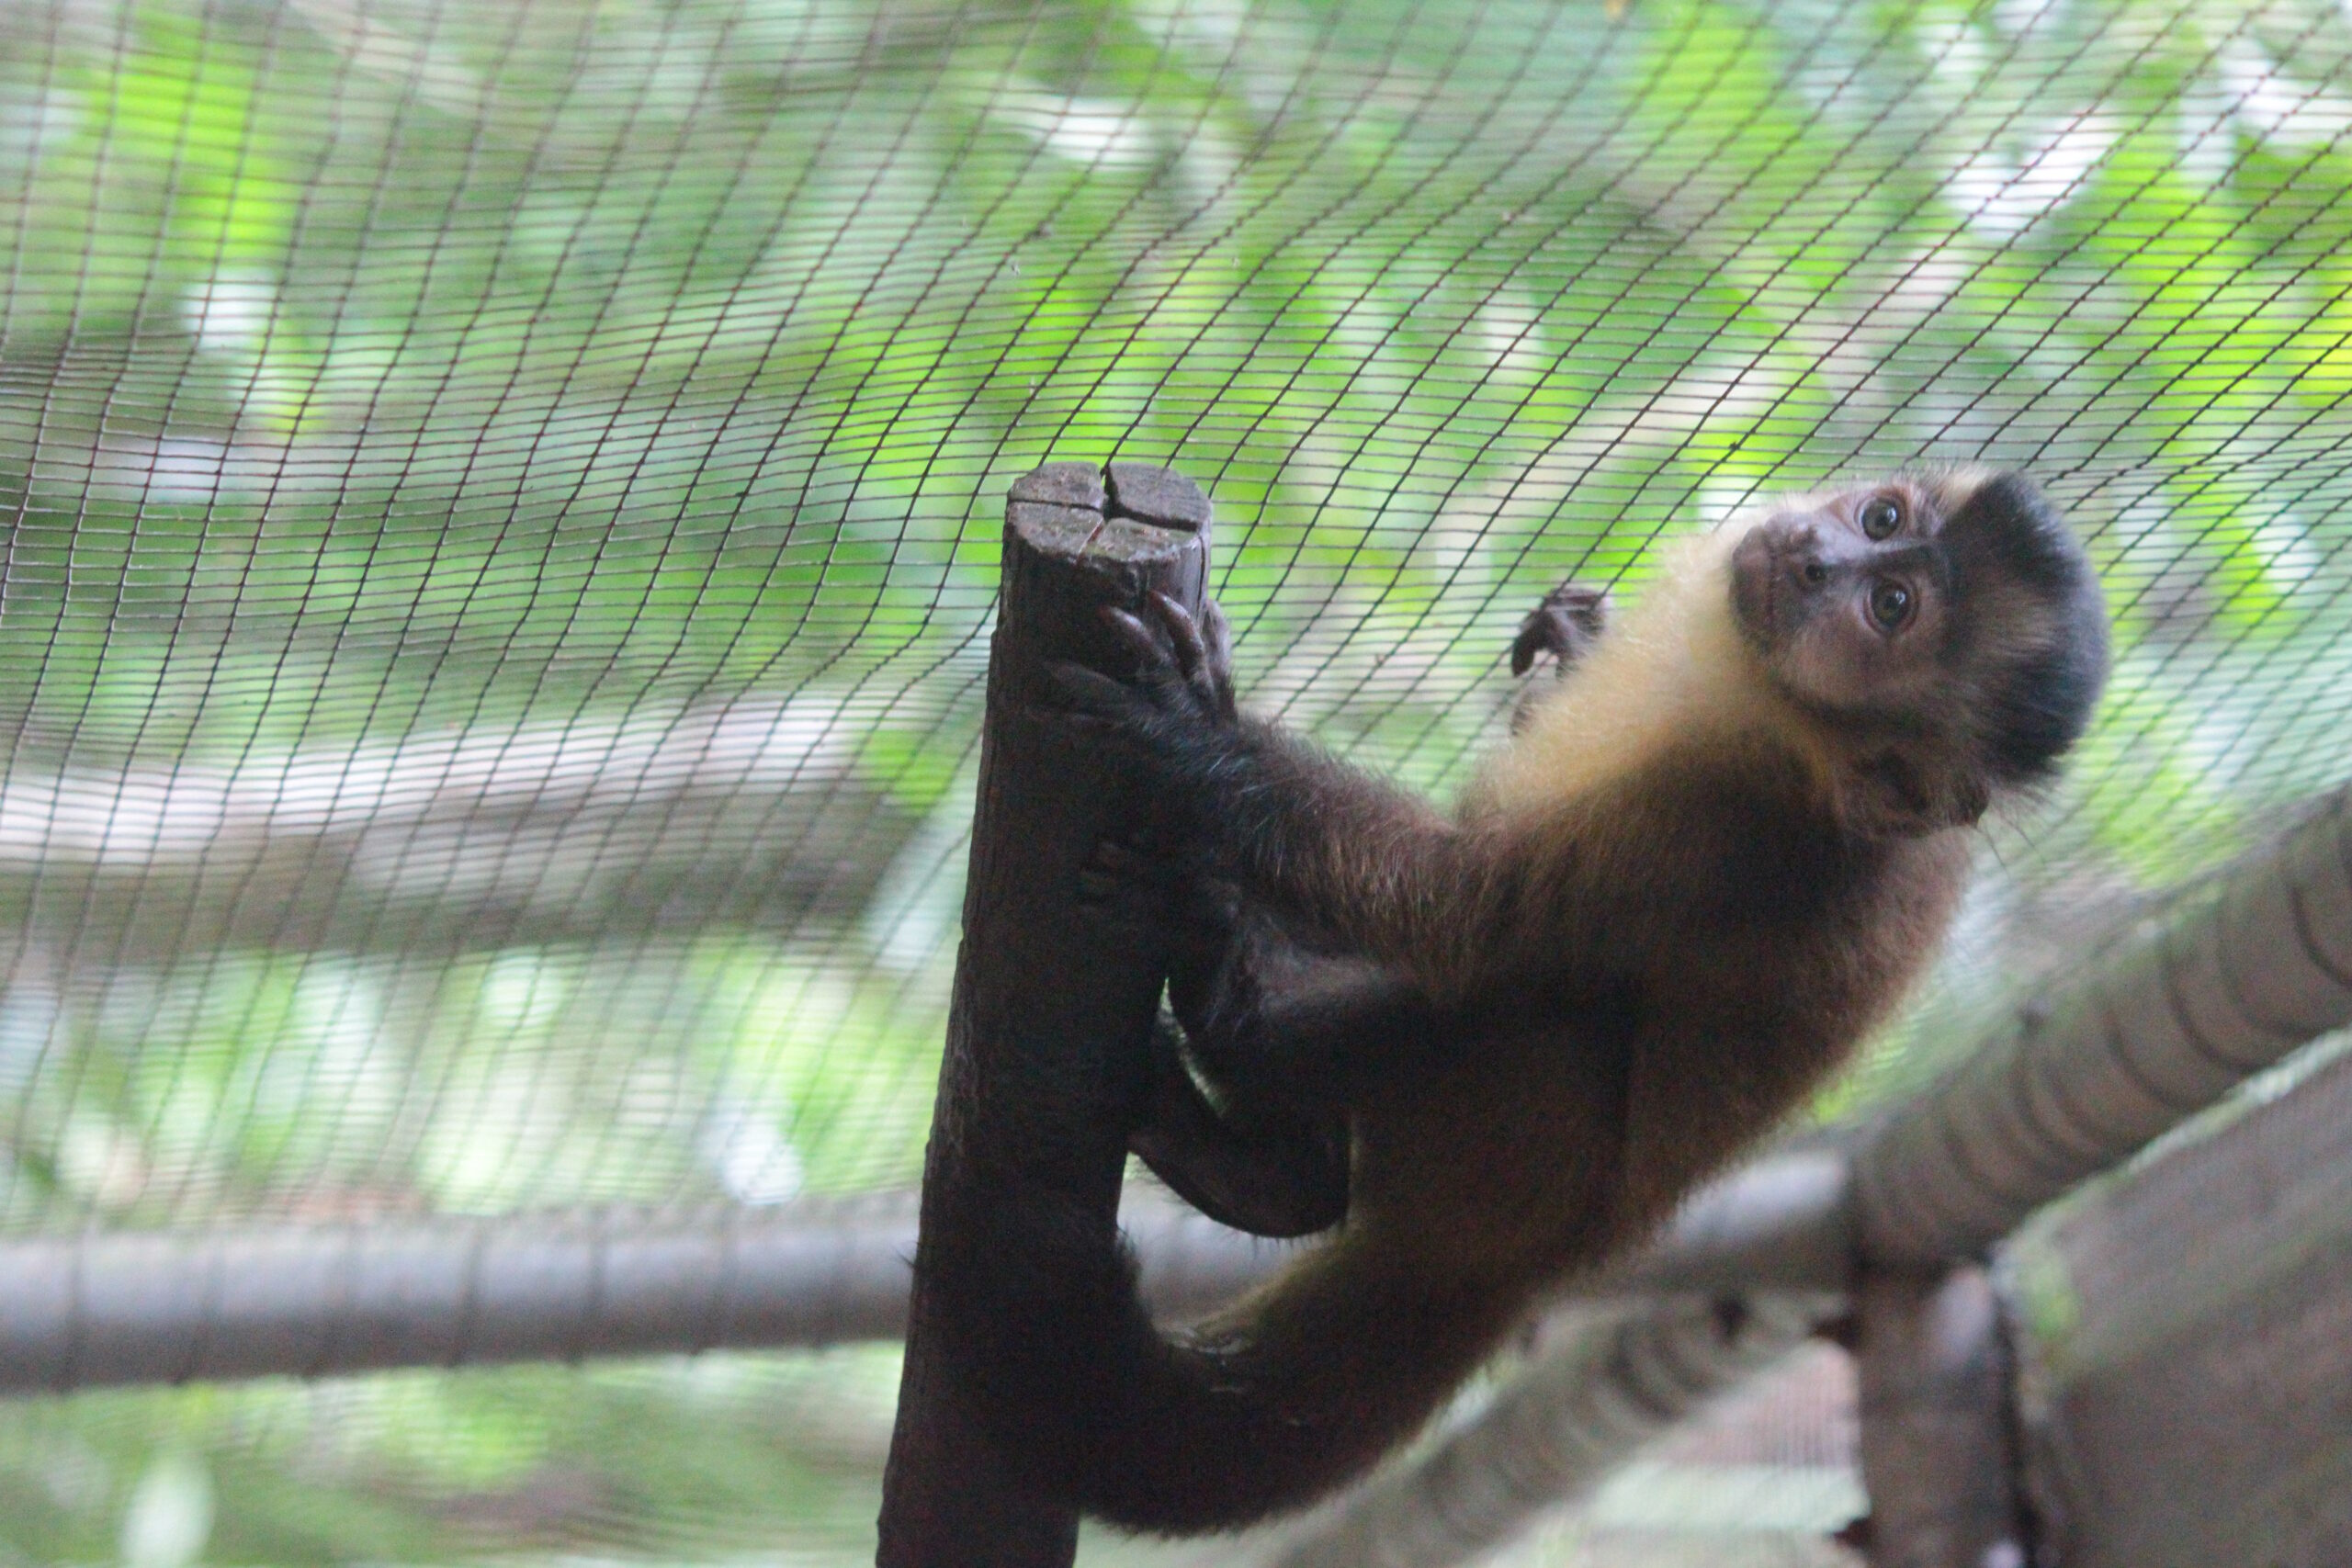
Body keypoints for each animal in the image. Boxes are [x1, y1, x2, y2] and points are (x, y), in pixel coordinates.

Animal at [936, 467, 2108, 1533]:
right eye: (1881, 520)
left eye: (1890, 609)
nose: (1819, 559)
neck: (1783, 720)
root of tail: (1538, 1260)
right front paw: (1579, 638)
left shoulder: (1740, 821)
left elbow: (1469, 911)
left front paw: (1197, 734)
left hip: (1509, 1141)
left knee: (1537, 995)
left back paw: (1250, 1061)